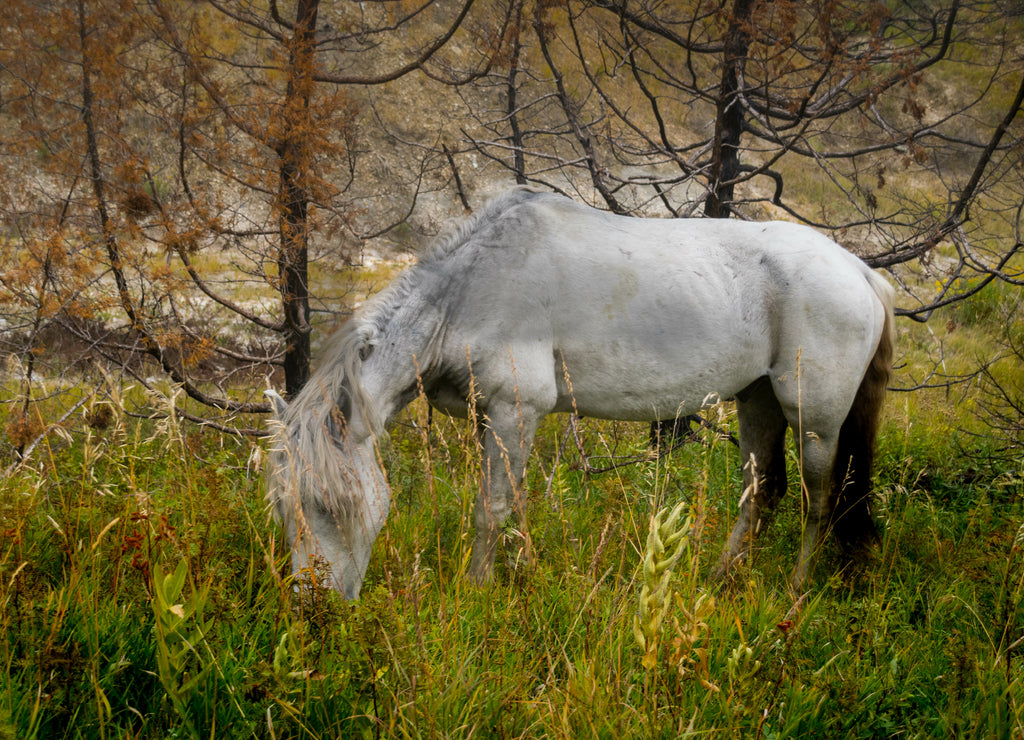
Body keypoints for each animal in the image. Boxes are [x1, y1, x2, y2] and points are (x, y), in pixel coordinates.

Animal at [266, 188, 897, 597]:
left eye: (330, 505)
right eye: (283, 506)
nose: (312, 607)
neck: (468, 290)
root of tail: (860, 271)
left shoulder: (515, 409)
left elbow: (490, 508)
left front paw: (477, 591)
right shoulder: (494, 418)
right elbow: (515, 501)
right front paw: (523, 573)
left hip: (814, 418)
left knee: (820, 498)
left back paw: (795, 591)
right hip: (757, 399)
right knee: (761, 492)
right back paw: (721, 580)